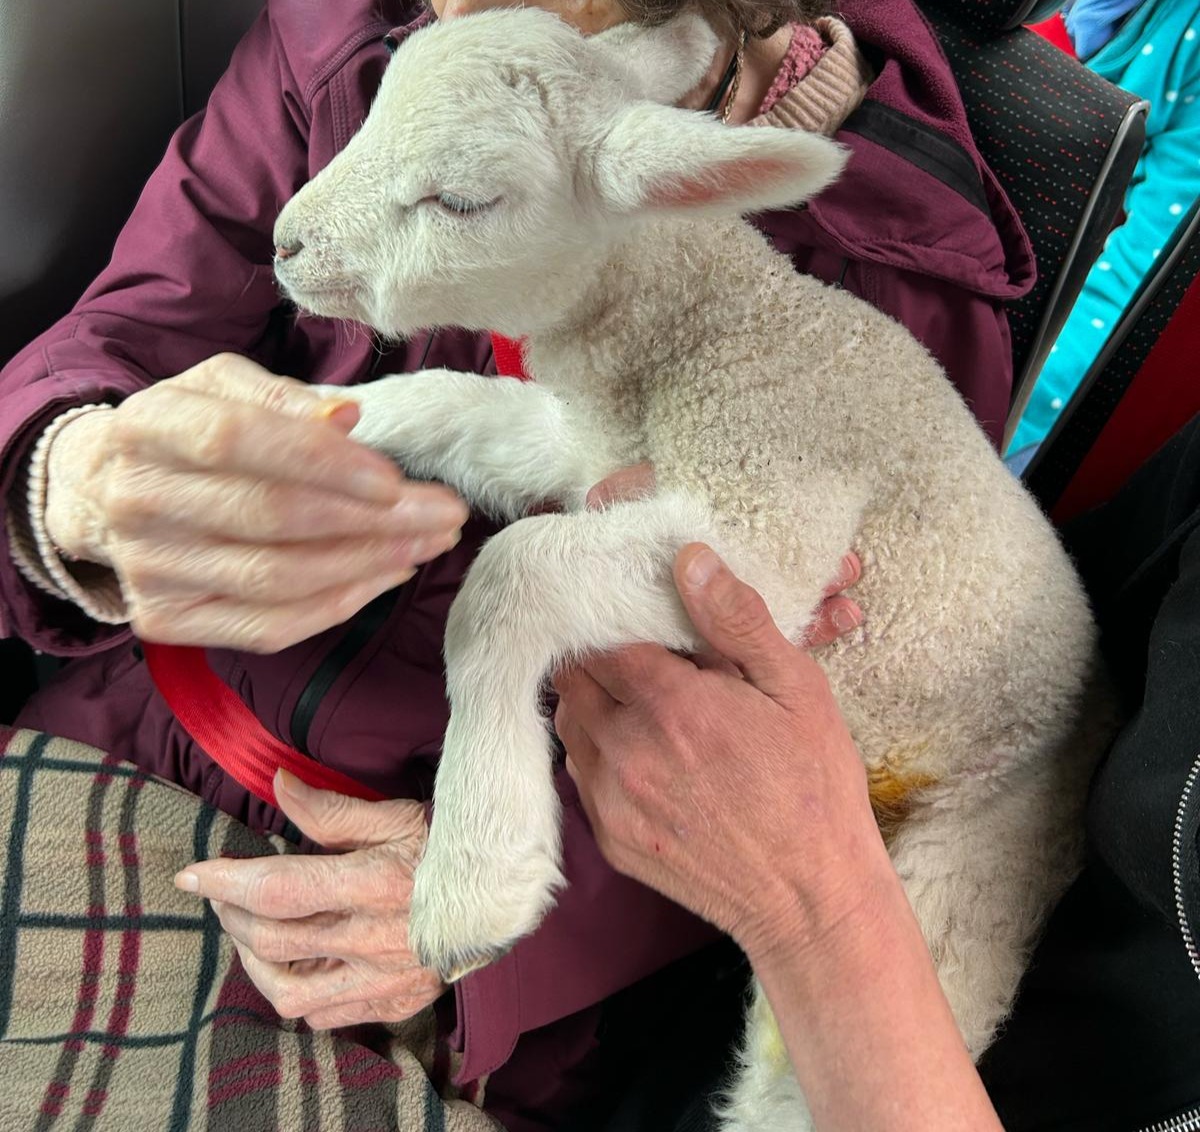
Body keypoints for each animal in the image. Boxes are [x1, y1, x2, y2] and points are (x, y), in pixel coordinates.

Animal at [272, 9, 1112, 1129]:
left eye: (461, 201)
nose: (285, 244)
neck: (705, 329)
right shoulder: (583, 446)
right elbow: (448, 402)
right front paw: (293, 426)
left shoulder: (769, 507)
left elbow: (514, 573)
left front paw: (475, 875)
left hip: (973, 868)